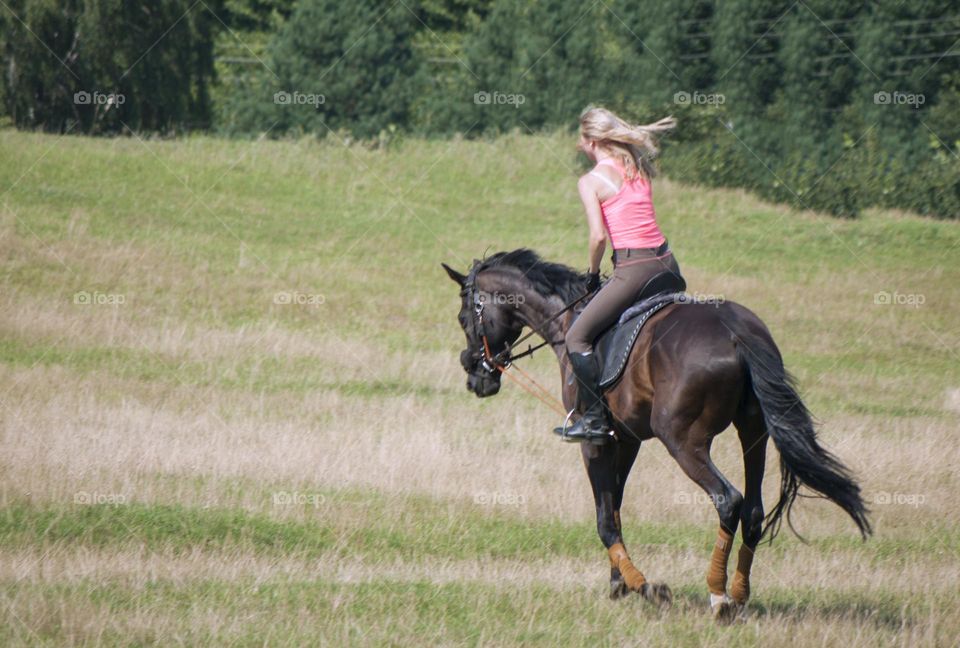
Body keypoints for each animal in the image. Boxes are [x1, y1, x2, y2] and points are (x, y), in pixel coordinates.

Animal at [442, 248, 872, 624]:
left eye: (464, 318)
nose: (474, 376)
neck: (567, 320)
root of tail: (737, 334)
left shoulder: (594, 441)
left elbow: (604, 518)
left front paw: (643, 587)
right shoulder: (625, 439)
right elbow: (615, 506)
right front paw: (619, 582)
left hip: (682, 441)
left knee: (727, 500)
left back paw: (718, 597)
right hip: (754, 433)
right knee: (752, 510)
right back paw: (739, 595)